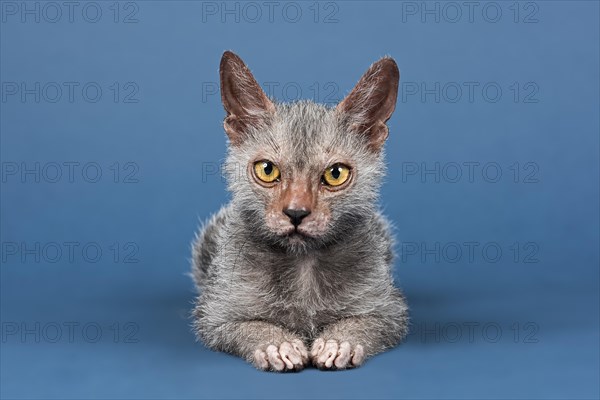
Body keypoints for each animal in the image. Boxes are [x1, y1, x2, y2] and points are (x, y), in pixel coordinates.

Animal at [192, 50, 408, 372]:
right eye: (267, 170)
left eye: (336, 174)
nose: (296, 213)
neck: (303, 261)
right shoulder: (214, 314)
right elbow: (245, 326)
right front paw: (275, 344)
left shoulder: (390, 310)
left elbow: (366, 323)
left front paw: (338, 341)